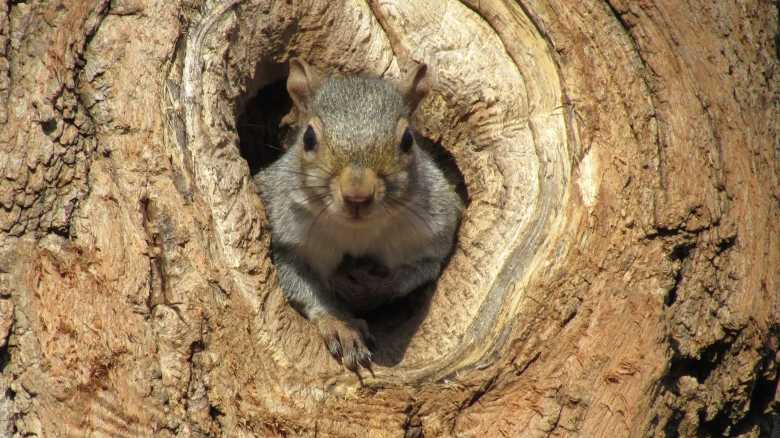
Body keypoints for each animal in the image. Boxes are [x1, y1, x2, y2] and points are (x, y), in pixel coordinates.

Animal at [255, 58, 462, 372]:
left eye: (408, 140)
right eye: (308, 138)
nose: (357, 195)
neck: (357, 231)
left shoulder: (434, 236)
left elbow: (417, 272)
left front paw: (370, 287)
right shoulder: (288, 242)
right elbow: (301, 284)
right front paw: (342, 325)